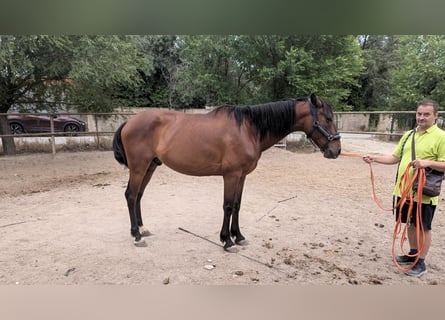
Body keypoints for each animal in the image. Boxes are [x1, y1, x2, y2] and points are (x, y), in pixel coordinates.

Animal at [112, 92, 340, 250]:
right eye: (328, 118)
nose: (336, 150)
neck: (248, 128)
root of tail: (129, 121)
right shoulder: (231, 175)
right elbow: (228, 206)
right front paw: (226, 240)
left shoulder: (242, 176)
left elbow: (238, 205)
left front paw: (238, 236)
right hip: (139, 167)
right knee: (131, 195)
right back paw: (136, 236)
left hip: (150, 166)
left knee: (139, 195)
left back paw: (142, 229)